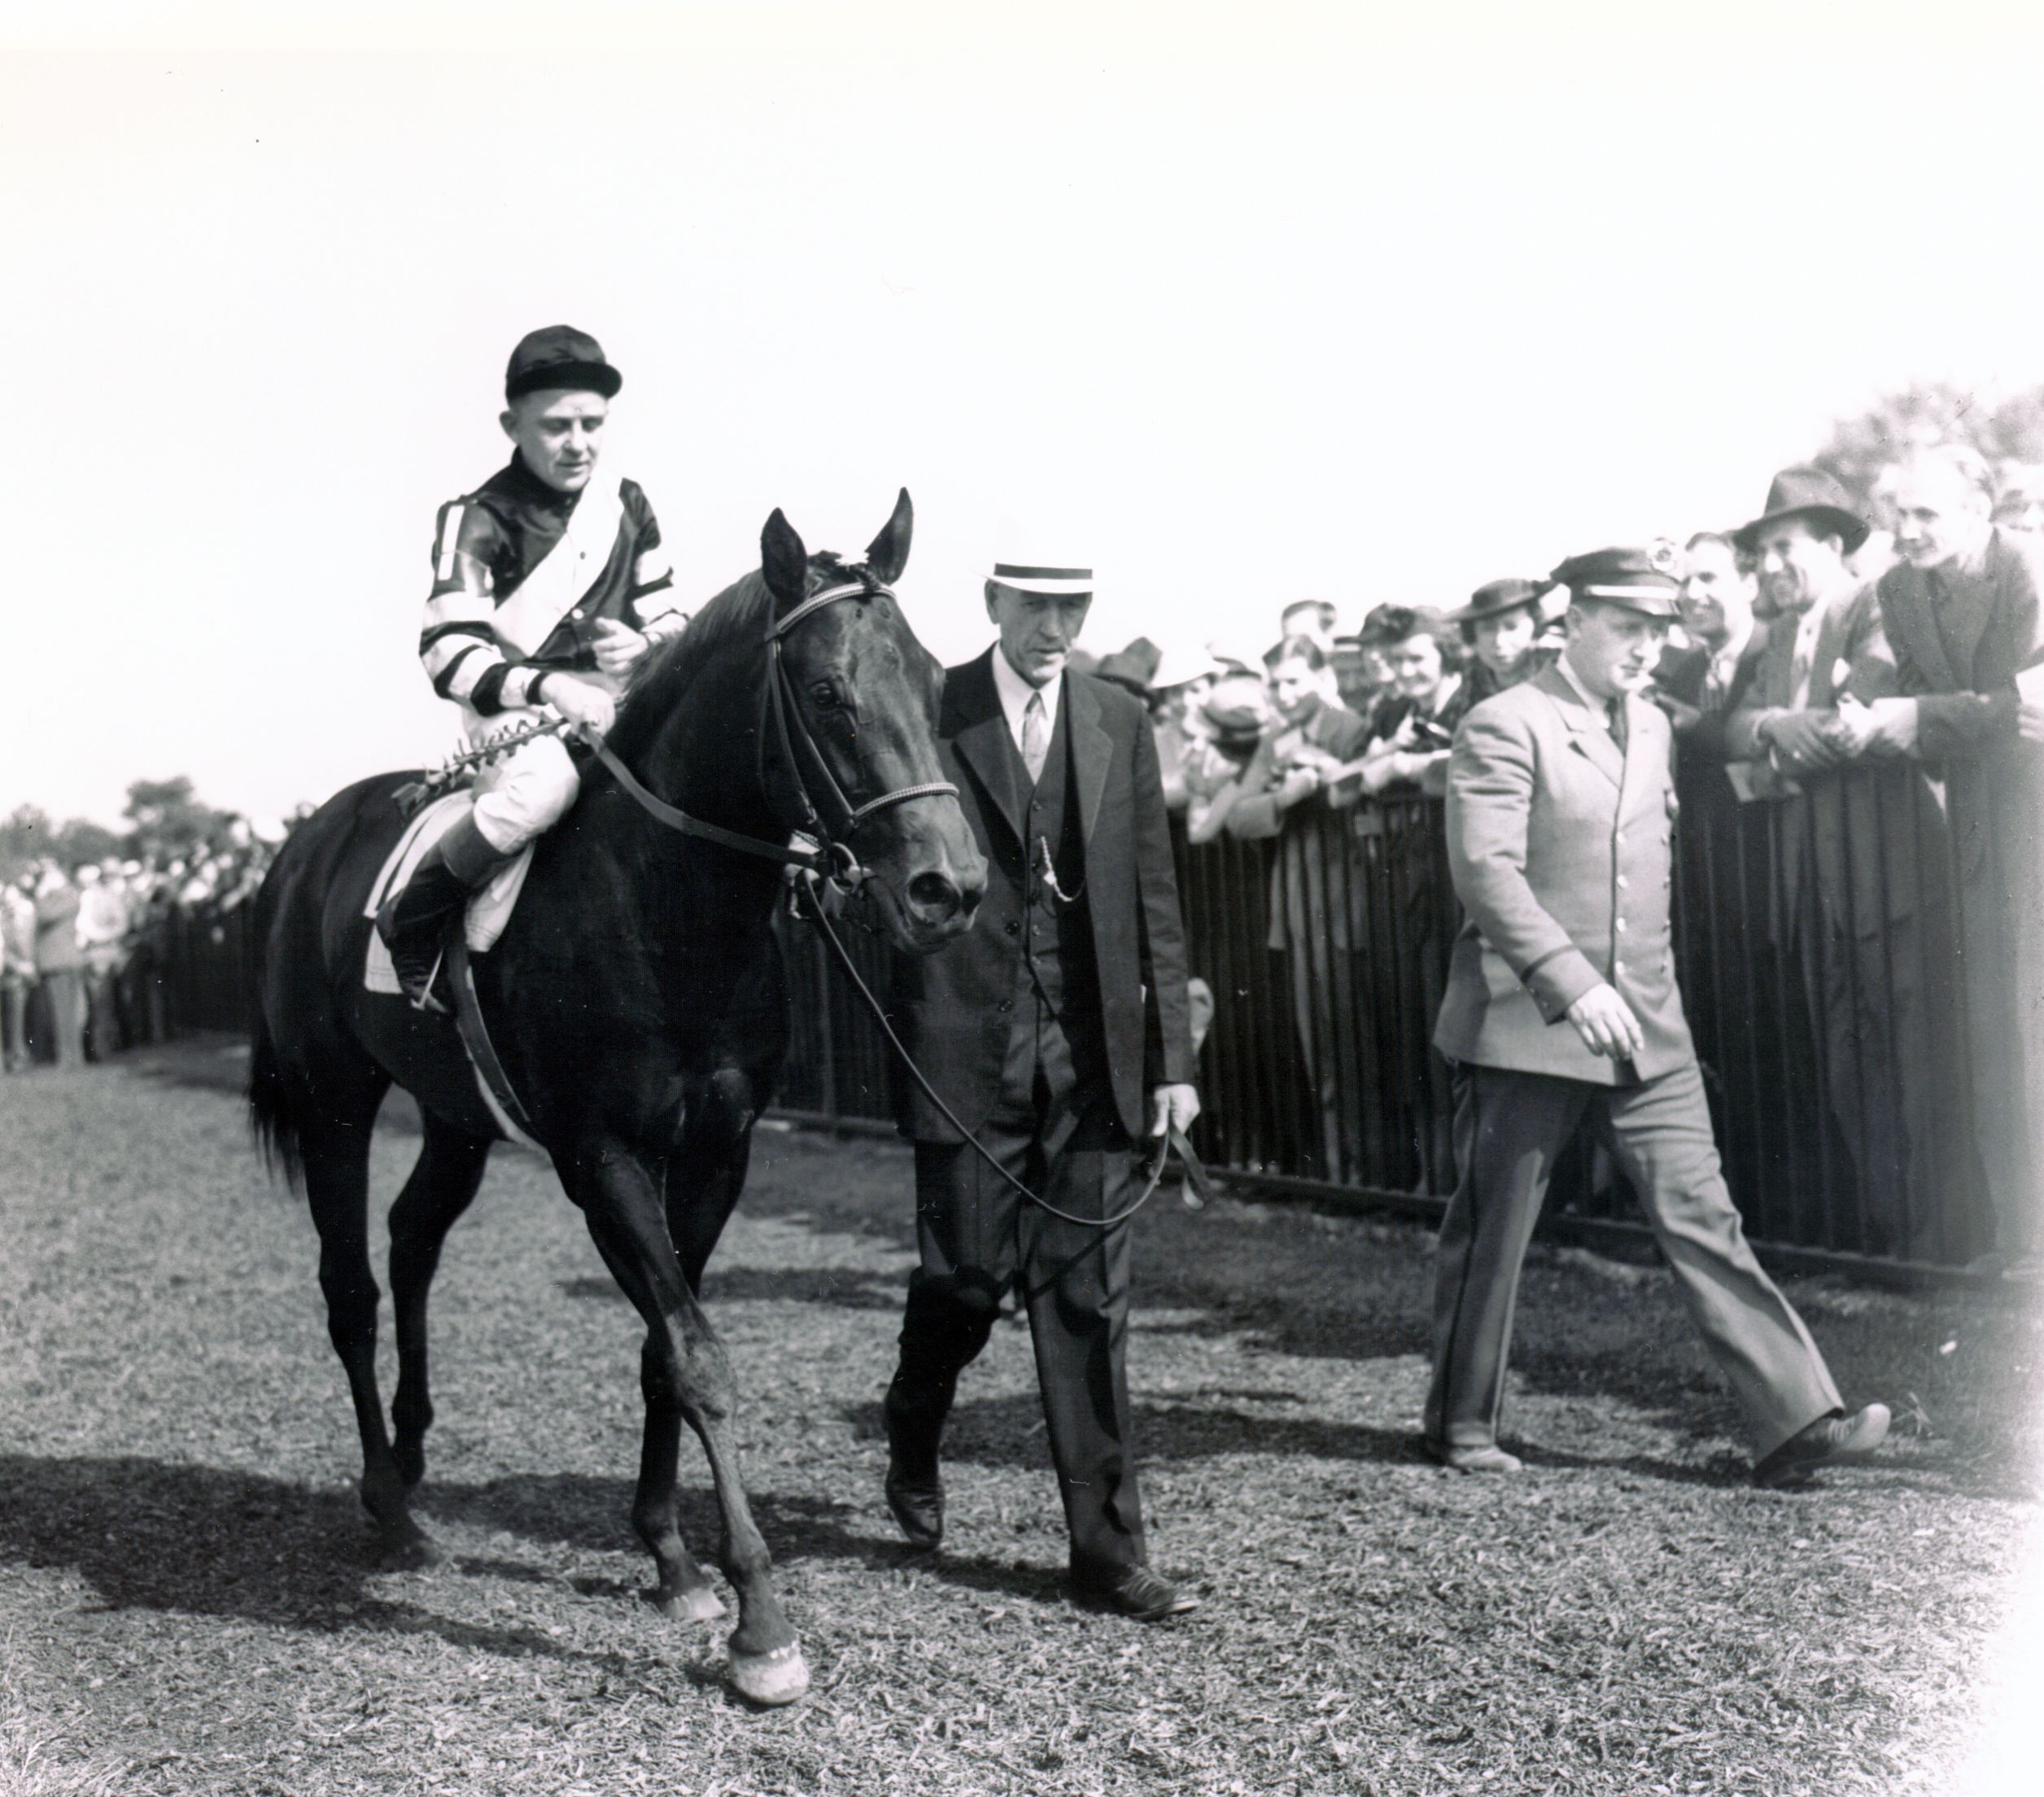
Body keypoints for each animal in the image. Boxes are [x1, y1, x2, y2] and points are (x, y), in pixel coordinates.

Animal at [242, 488, 993, 1700]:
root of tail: (305, 841)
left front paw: (671, 1556)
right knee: (349, 1288)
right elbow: (695, 1355)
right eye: (827, 693)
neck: (662, 906)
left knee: (412, 1243)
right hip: (334, 1106)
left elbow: (661, 1351)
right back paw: (388, 1507)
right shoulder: (602, 1159)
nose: (950, 886)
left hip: (454, 1118)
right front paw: (761, 1623)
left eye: (930, 684)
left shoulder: (718, 1151)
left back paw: (411, 1452)